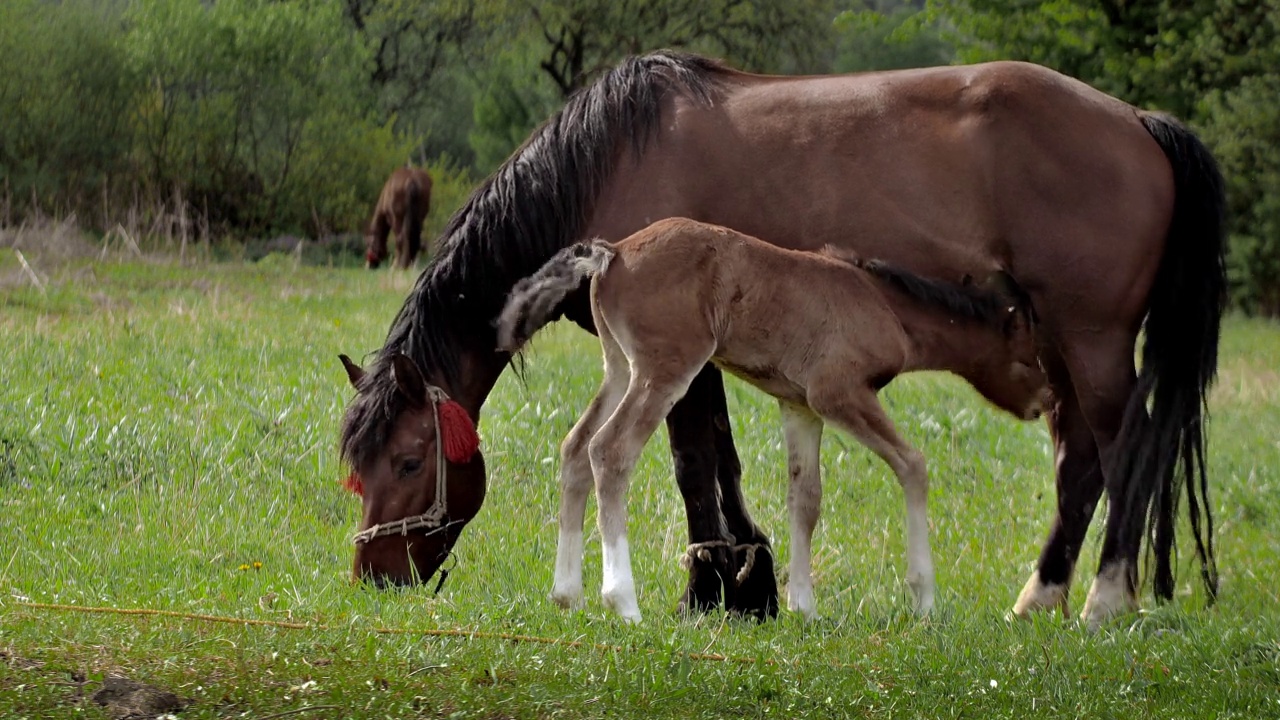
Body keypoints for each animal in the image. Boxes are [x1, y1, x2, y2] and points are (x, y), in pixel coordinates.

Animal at [488, 219, 1049, 617]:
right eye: (1028, 359)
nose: (1043, 403)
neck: (885, 307)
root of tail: (615, 253)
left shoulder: (800, 405)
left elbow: (805, 498)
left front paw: (804, 606)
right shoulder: (839, 394)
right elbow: (913, 465)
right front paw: (925, 598)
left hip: (620, 367)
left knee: (575, 448)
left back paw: (567, 593)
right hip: (664, 370)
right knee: (610, 451)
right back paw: (622, 601)